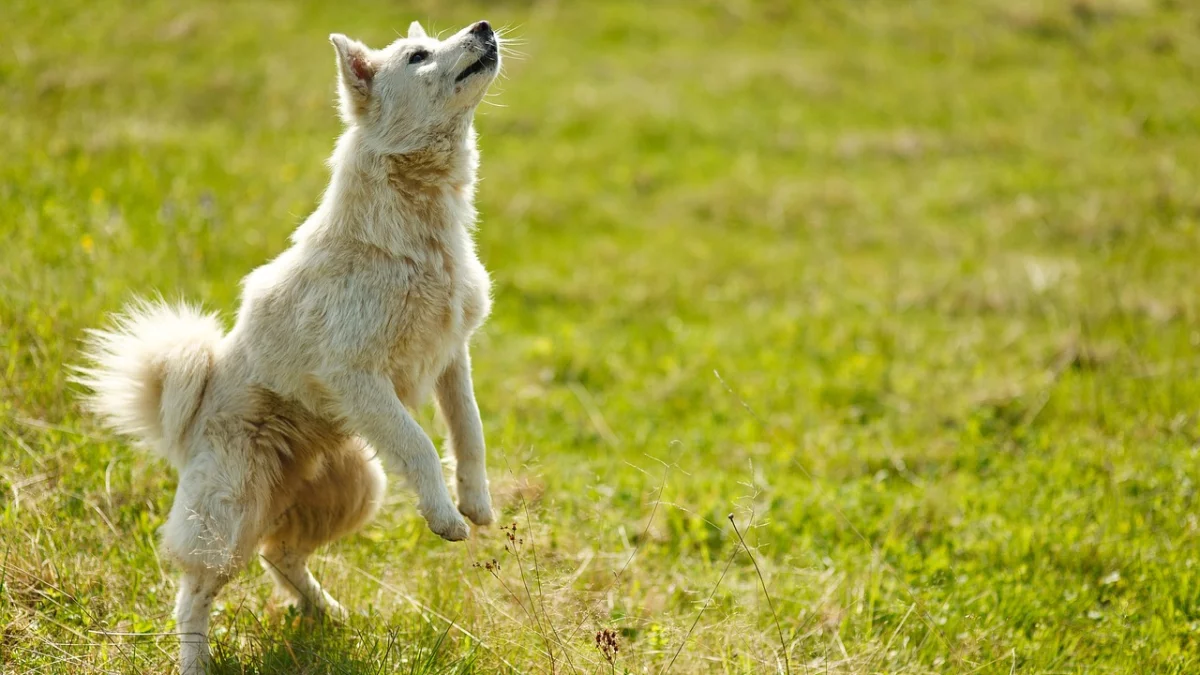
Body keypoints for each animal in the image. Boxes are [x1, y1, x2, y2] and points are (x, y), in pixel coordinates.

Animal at [76, 18, 506, 667]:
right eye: (418, 54)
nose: (483, 26)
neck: (416, 233)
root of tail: (184, 424)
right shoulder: (356, 372)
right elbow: (420, 445)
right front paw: (444, 517)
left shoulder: (452, 356)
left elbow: (469, 434)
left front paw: (476, 506)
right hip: (227, 519)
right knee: (194, 594)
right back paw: (196, 662)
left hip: (357, 488)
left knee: (279, 555)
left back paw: (325, 612)